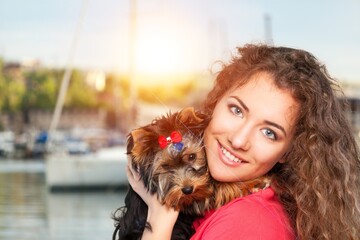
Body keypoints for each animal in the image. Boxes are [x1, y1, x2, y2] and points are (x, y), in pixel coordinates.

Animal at [112, 107, 270, 240]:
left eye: (192, 156)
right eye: (166, 166)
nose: (187, 190)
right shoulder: (188, 201)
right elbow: (218, 188)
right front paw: (257, 181)